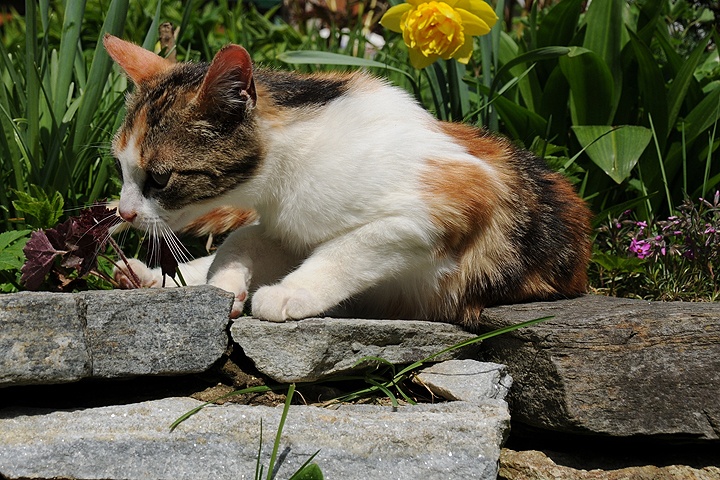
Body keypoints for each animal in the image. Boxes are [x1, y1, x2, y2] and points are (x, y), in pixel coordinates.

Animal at [105, 33, 592, 330]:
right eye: (121, 169)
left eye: (160, 178)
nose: (125, 212)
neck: (288, 172)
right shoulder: (286, 228)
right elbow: (242, 240)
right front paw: (224, 282)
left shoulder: (453, 196)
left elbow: (346, 249)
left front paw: (289, 292)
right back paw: (145, 275)